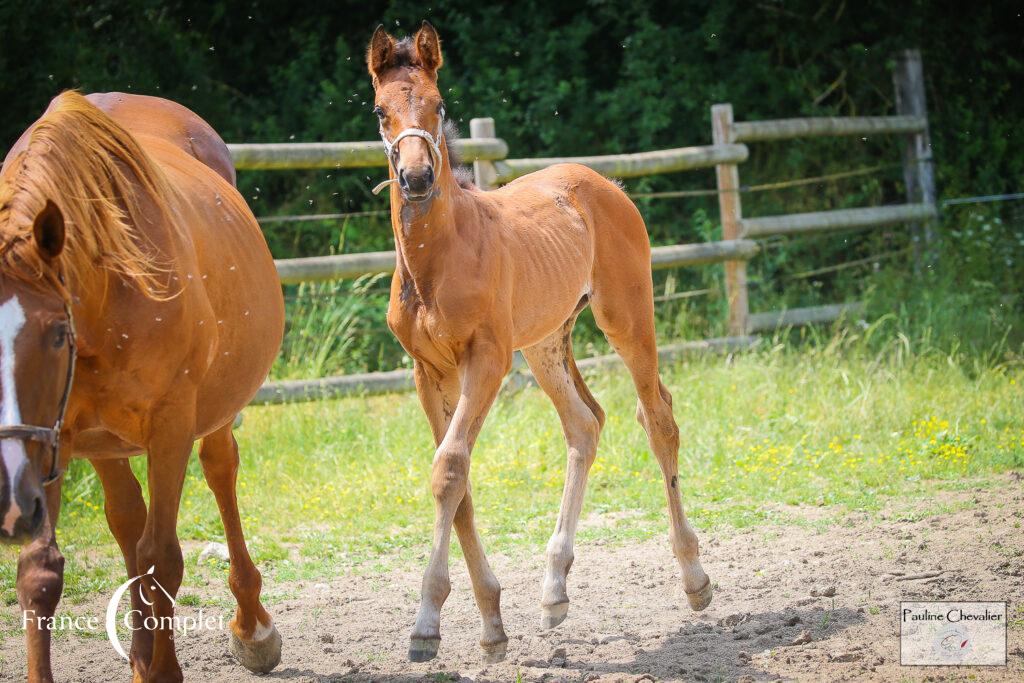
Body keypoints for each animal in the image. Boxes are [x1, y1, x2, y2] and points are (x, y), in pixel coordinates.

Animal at [1, 92, 284, 683]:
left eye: (55, 333)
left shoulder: (170, 426)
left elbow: (163, 559)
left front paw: (165, 668)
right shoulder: (53, 438)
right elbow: (41, 572)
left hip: (211, 411)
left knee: (218, 472)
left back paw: (253, 629)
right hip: (102, 442)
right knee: (127, 518)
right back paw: (138, 651)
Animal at [368, 22, 712, 663]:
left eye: (439, 104)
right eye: (380, 111)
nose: (417, 178)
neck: (438, 260)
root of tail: (604, 182)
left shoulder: (487, 361)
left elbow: (449, 467)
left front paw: (426, 625)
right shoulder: (428, 372)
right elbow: (457, 481)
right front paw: (491, 625)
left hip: (626, 317)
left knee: (658, 418)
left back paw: (694, 578)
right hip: (547, 341)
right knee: (584, 423)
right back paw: (554, 589)